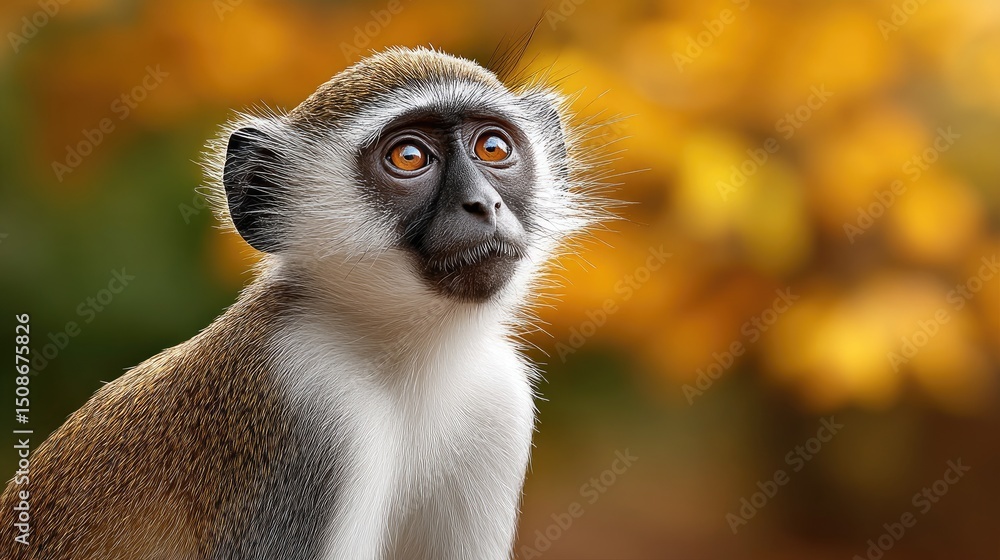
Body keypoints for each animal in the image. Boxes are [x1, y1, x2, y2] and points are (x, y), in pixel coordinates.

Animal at [0, 46, 608, 559]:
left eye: (493, 148)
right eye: (410, 156)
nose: (483, 203)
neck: (405, 362)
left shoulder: (498, 402)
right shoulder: (308, 409)